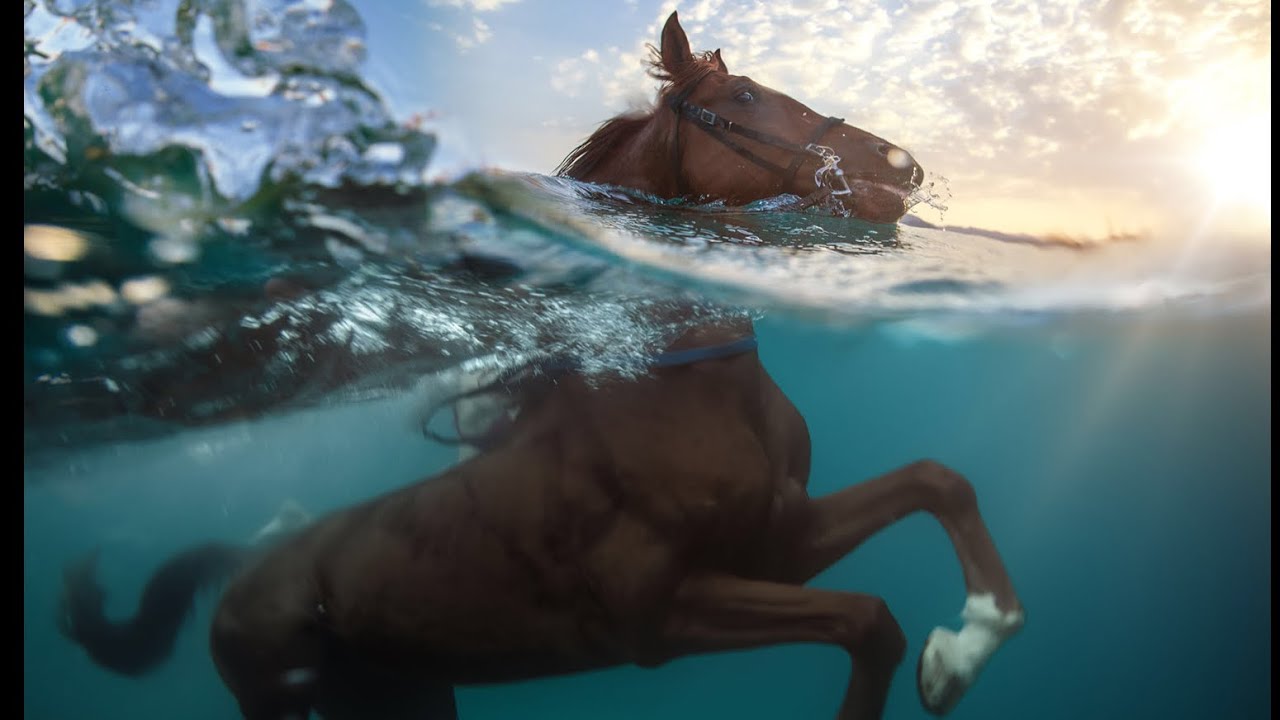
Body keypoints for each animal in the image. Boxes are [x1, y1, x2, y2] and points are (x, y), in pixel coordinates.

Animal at [58, 11, 1023, 720]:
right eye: (746, 93)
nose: (904, 167)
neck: (687, 389)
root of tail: (258, 558)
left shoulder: (782, 544)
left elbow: (937, 483)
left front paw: (969, 641)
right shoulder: (661, 613)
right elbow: (870, 620)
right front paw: (948, 657)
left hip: (407, 692)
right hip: (277, 698)